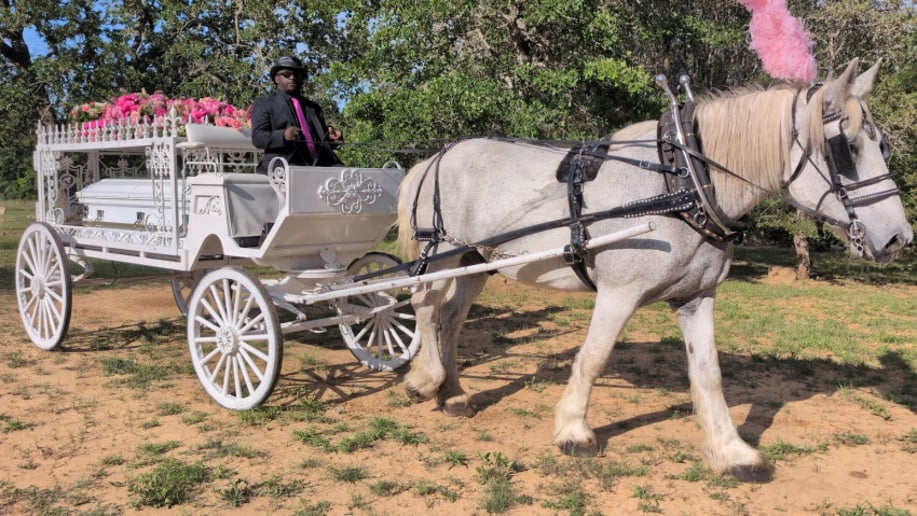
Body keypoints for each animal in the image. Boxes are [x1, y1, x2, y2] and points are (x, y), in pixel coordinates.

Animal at [394, 58, 912, 479]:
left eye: (883, 145)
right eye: (845, 148)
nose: (898, 237)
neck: (681, 182)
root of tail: (434, 158)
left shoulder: (697, 297)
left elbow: (708, 374)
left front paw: (732, 452)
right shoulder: (618, 293)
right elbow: (594, 356)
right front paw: (573, 430)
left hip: (476, 262)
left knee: (451, 318)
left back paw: (454, 393)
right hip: (441, 253)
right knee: (424, 306)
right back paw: (426, 379)